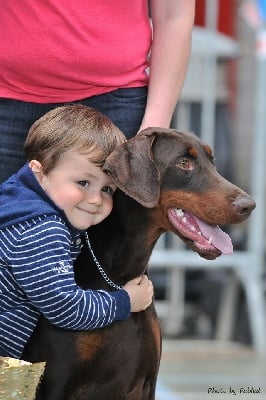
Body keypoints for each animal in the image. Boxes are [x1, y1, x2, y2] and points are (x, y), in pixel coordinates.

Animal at [22, 129, 256, 400]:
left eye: (213, 161)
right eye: (183, 163)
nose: (249, 206)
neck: (118, 276)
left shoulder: (146, 383)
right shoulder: (55, 384)